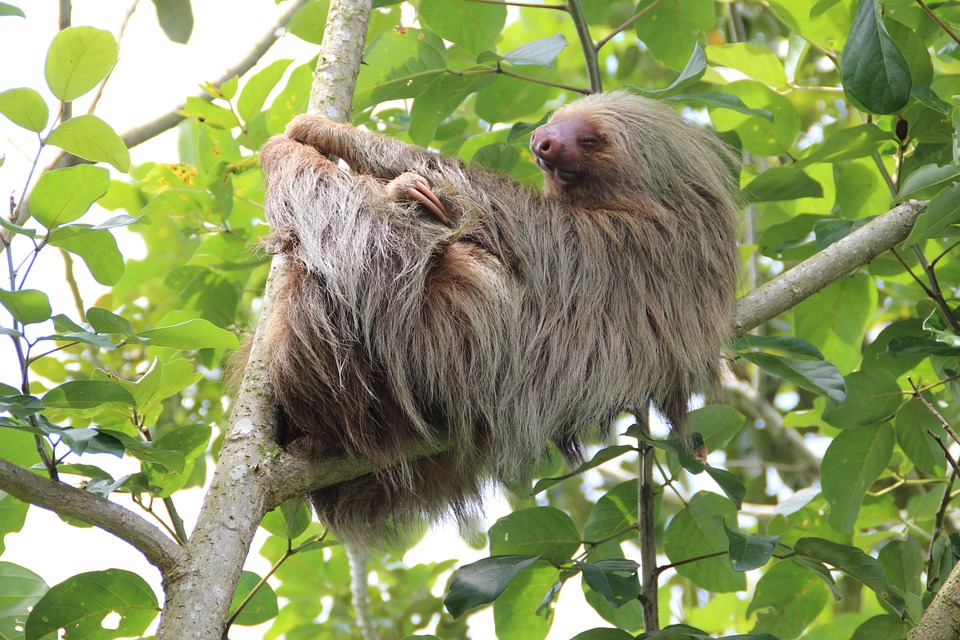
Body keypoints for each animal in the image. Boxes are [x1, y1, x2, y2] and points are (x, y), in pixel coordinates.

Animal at [258, 91, 740, 548]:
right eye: (562, 120)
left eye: (590, 140)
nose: (543, 140)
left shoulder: (601, 243)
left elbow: (476, 199)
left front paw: (319, 132)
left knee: (357, 244)